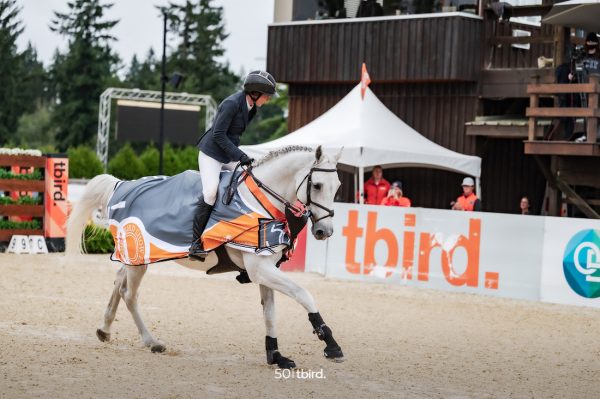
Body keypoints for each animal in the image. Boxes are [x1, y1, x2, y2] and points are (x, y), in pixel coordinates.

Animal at [66, 145, 344, 370]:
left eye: (338, 187)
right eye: (317, 185)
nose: (324, 232)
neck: (261, 201)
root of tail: (120, 185)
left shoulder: (265, 266)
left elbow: (270, 313)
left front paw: (275, 356)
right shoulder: (259, 269)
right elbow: (303, 294)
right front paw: (331, 344)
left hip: (133, 259)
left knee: (117, 281)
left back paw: (105, 329)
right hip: (139, 258)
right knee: (129, 294)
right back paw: (151, 341)